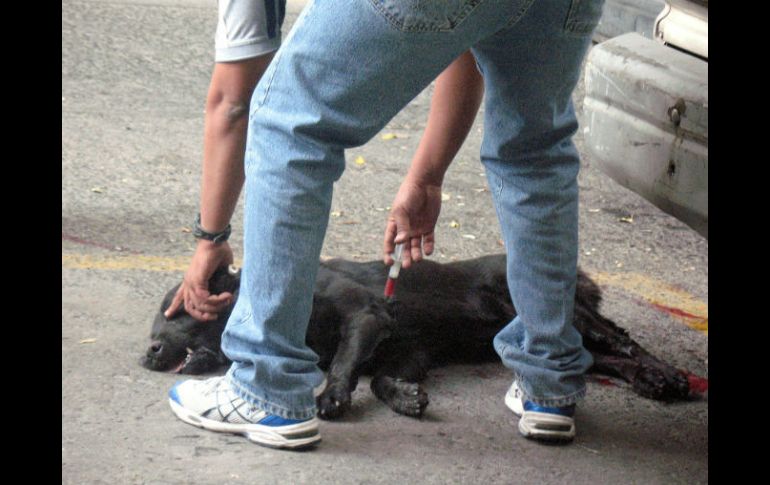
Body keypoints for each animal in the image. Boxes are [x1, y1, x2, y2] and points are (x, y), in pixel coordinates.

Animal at [142, 254, 693, 419]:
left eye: (175, 309)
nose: (147, 352)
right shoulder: (406, 350)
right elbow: (380, 379)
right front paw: (407, 397)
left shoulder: (365, 317)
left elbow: (343, 366)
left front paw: (333, 396)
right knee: (604, 360)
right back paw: (651, 382)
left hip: (563, 316)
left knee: (626, 342)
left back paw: (667, 375)